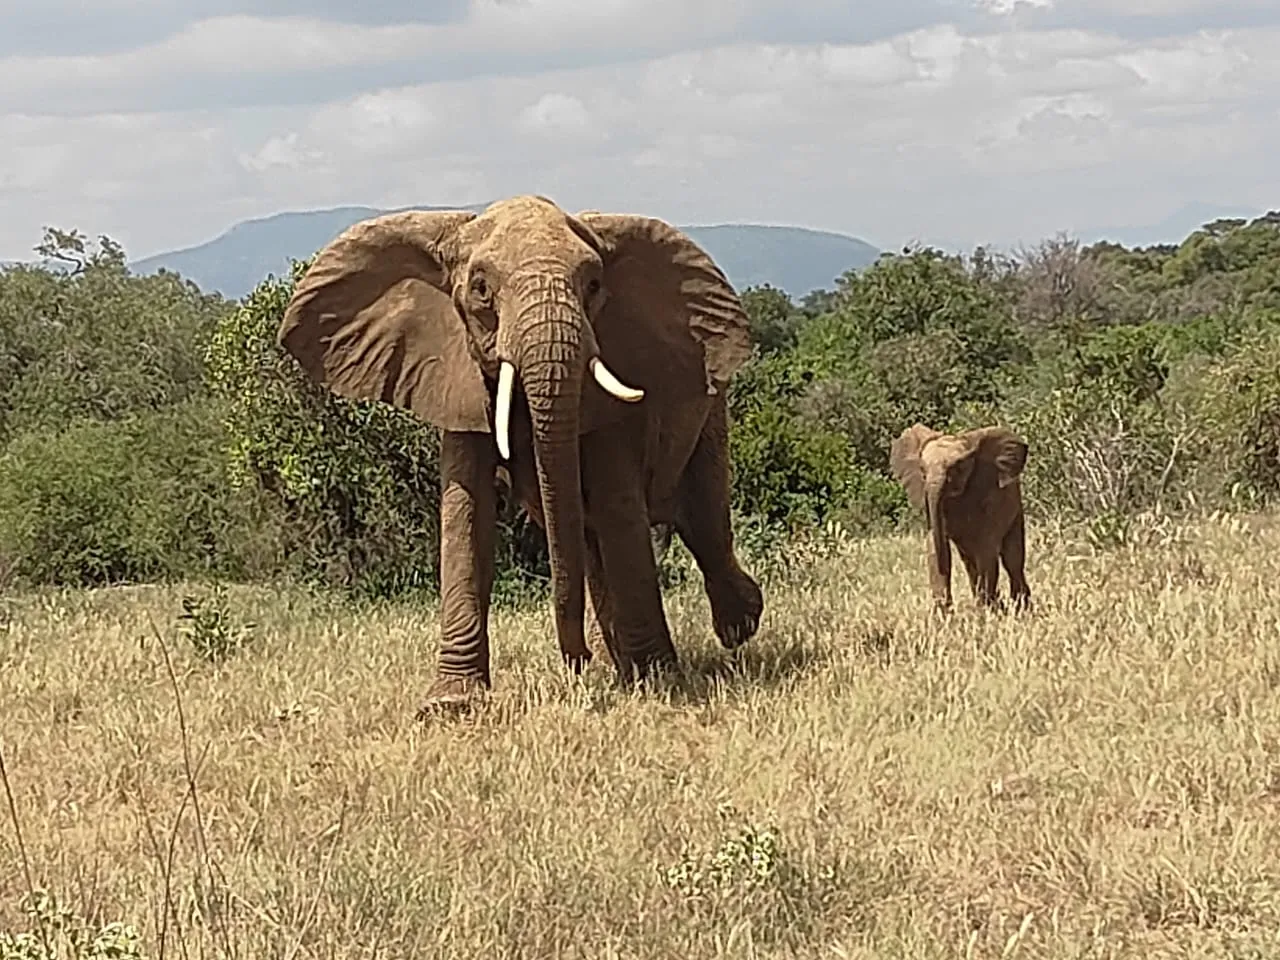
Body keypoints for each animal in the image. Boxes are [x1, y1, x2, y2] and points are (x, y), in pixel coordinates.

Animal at [276, 194, 765, 715]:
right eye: (480, 289)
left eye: (594, 286)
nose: (576, 661)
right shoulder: (454, 373)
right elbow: (466, 515)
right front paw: (450, 705)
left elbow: (618, 507)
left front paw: (659, 682)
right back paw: (617, 661)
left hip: (711, 406)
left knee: (701, 517)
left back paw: (737, 625)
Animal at [888, 423, 1030, 612]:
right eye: (922, 470)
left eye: (957, 468)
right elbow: (935, 547)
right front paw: (944, 614)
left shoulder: (990, 496)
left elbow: (986, 549)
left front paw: (988, 611)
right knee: (970, 561)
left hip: (1015, 510)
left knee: (1012, 560)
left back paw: (1020, 608)